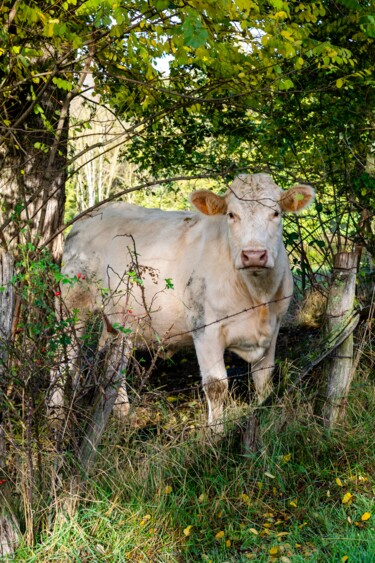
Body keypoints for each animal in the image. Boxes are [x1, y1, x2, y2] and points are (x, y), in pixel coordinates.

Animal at [56, 173, 314, 428]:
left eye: (276, 213)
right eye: (232, 214)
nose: (253, 255)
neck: (257, 295)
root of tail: (89, 216)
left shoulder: (274, 325)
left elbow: (263, 378)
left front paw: (261, 418)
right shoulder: (205, 327)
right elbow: (216, 386)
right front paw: (216, 433)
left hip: (119, 319)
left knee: (112, 368)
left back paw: (121, 414)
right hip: (72, 306)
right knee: (63, 361)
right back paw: (55, 416)